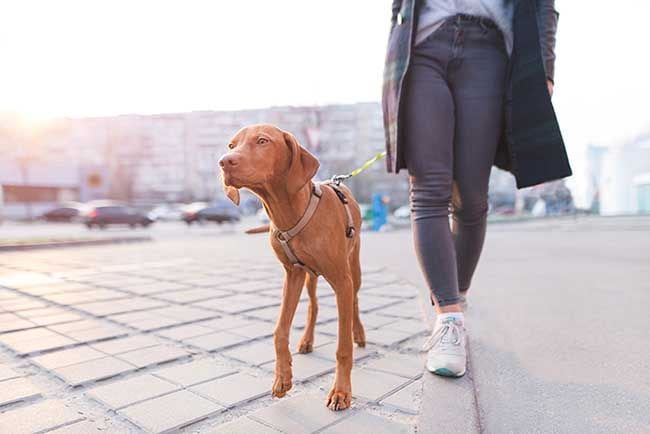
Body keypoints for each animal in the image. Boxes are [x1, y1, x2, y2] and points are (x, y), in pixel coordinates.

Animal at [219, 123, 364, 410]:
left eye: (262, 141)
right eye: (232, 145)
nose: (224, 162)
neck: (290, 213)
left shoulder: (341, 281)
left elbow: (343, 347)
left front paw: (341, 391)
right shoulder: (292, 275)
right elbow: (279, 331)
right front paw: (282, 378)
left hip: (354, 269)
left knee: (354, 300)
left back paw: (359, 333)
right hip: (310, 278)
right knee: (313, 305)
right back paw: (307, 339)